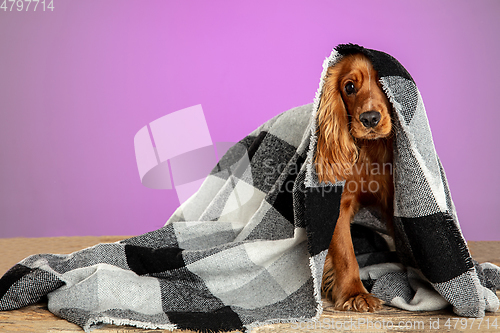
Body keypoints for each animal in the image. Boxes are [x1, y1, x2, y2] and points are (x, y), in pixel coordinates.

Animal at [316, 52, 394, 312]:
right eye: (349, 87)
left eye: (385, 83)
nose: (369, 118)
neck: (369, 151)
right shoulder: (338, 205)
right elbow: (345, 255)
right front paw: (355, 294)